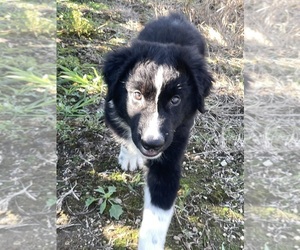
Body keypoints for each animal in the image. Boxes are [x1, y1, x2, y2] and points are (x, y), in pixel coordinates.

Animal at [103, 12, 213, 249]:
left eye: (175, 100)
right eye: (137, 95)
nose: (152, 143)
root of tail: (177, 17)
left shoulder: (170, 155)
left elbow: (157, 219)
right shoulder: (112, 109)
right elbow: (124, 133)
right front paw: (129, 156)